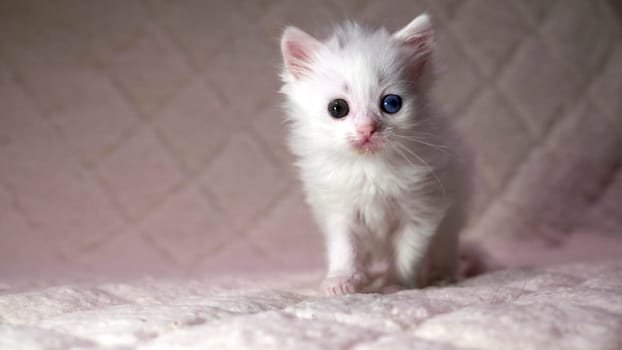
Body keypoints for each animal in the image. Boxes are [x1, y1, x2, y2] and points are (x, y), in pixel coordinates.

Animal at [280, 13, 470, 294]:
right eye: (337, 108)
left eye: (391, 104)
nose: (367, 129)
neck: (369, 167)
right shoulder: (340, 211)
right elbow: (345, 250)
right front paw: (341, 281)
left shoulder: (423, 209)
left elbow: (408, 254)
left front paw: (395, 284)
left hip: (450, 223)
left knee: (444, 250)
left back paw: (442, 276)